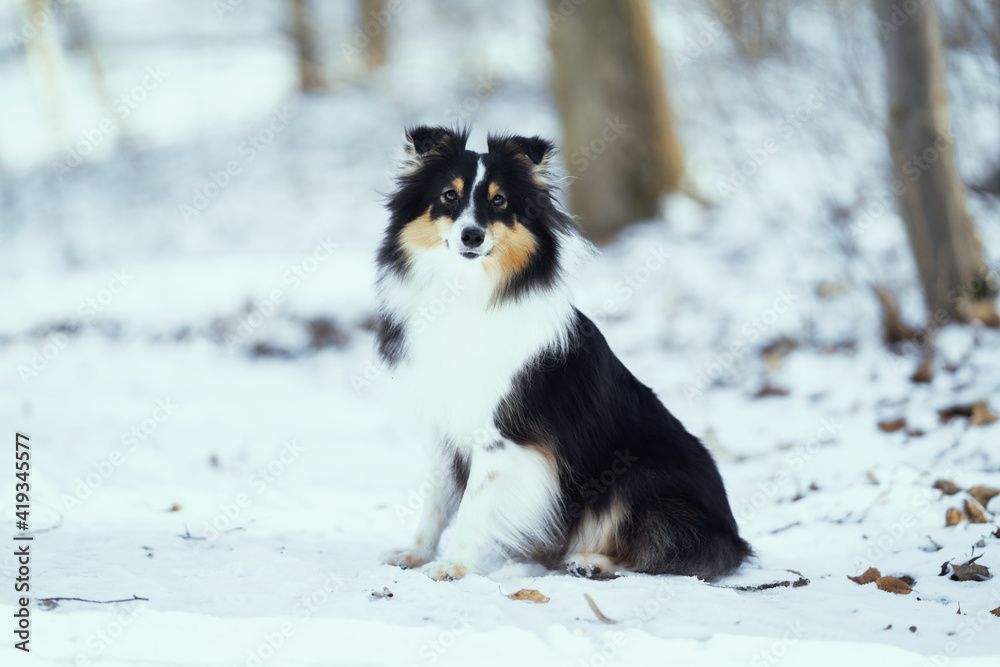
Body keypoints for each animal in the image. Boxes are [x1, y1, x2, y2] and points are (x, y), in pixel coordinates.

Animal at [376, 128, 752, 580]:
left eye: (500, 201)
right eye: (450, 195)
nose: (472, 236)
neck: (465, 291)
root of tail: (732, 536)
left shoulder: (502, 437)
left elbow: (473, 506)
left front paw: (454, 565)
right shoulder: (442, 426)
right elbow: (435, 501)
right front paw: (414, 554)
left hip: (637, 470)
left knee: (662, 548)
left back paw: (591, 561)